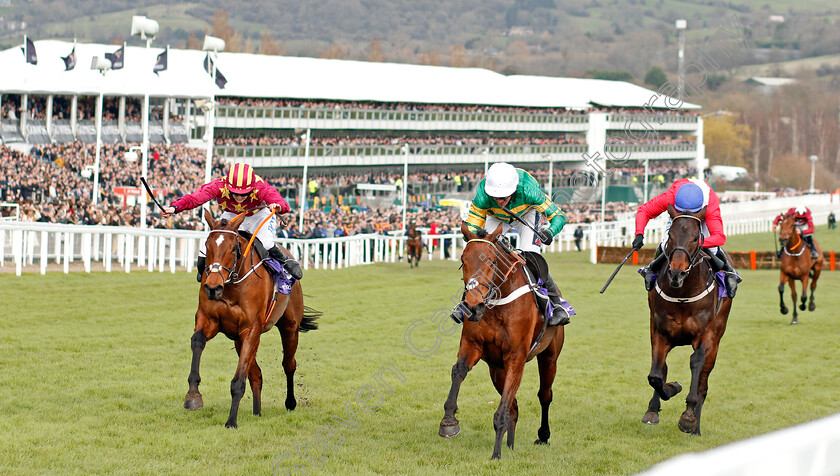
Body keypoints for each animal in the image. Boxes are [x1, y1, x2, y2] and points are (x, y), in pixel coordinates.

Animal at [185, 210, 320, 430]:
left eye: (233, 248)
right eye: (207, 245)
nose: (213, 288)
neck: (231, 286)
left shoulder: (250, 329)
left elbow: (239, 380)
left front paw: (231, 421)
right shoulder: (209, 319)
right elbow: (197, 341)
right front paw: (193, 396)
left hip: (289, 327)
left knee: (289, 364)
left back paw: (290, 402)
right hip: (239, 339)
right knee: (256, 375)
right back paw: (257, 411)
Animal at [440, 223, 564, 462]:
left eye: (492, 262)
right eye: (463, 260)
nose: (473, 307)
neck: (497, 304)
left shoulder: (516, 356)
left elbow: (504, 408)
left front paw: (496, 454)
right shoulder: (472, 344)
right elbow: (458, 371)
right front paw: (449, 421)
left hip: (549, 357)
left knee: (544, 395)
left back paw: (543, 436)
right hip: (497, 370)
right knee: (514, 406)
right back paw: (510, 444)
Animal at [648, 205, 732, 436]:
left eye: (696, 237)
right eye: (670, 235)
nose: (676, 273)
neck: (683, 293)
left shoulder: (706, 335)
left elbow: (696, 363)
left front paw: (688, 417)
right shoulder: (660, 332)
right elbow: (656, 375)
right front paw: (669, 390)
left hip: (717, 339)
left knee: (703, 381)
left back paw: (696, 426)